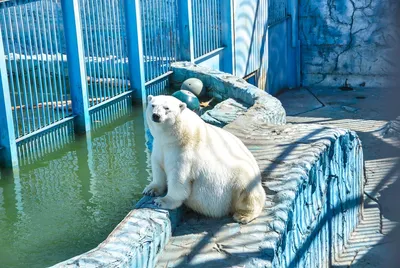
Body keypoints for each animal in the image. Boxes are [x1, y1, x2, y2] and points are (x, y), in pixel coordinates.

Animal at [143, 94, 266, 224]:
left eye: (167, 108)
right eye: (153, 105)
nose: (156, 115)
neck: (173, 136)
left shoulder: (184, 151)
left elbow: (178, 178)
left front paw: (162, 201)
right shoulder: (159, 146)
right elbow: (158, 167)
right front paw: (150, 190)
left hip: (241, 178)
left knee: (248, 192)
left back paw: (243, 216)